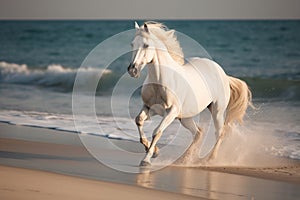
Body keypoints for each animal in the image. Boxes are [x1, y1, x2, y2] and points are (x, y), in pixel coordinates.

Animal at [127, 21, 252, 166]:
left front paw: (146, 159)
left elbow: (157, 131)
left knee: (219, 133)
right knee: (198, 133)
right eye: (132, 44)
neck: (160, 80)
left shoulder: (171, 111)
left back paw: (209, 159)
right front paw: (154, 151)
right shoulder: (150, 108)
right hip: (185, 117)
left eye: (146, 45)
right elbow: (139, 121)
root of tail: (223, 74)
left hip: (217, 111)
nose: (132, 70)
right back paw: (184, 159)